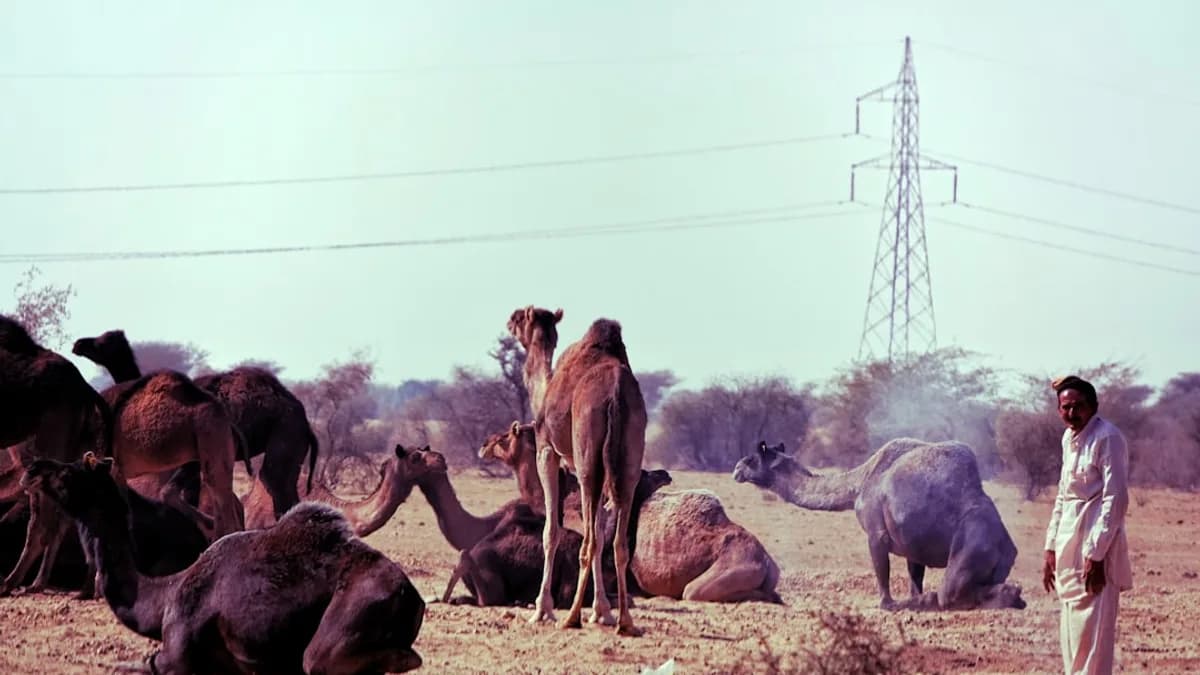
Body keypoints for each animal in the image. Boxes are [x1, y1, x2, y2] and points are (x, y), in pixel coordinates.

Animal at [23, 453, 426, 674]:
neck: (163, 597)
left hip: (337, 636)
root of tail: (412, 596)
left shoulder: (177, 659)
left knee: (325, 660)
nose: (32, 469)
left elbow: (148, 663)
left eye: (68, 472)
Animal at [508, 306, 648, 635]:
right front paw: (602, 612)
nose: (509, 320)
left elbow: (551, 530)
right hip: (628, 461)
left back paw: (571, 617)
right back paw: (625, 621)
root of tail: (616, 395)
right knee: (617, 542)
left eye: (520, 318)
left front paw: (542, 610)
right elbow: (598, 530)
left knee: (590, 541)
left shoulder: (547, 450)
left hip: (587, 461)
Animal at [732, 439, 1026, 611]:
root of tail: (1007, 545)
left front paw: (889, 603)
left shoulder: (876, 533)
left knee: (950, 593)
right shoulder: (912, 544)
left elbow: (882, 575)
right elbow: (914, 577)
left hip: (972, 545)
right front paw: (916, 598)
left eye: (753, 458)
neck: (859, 483)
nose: (736, 469)